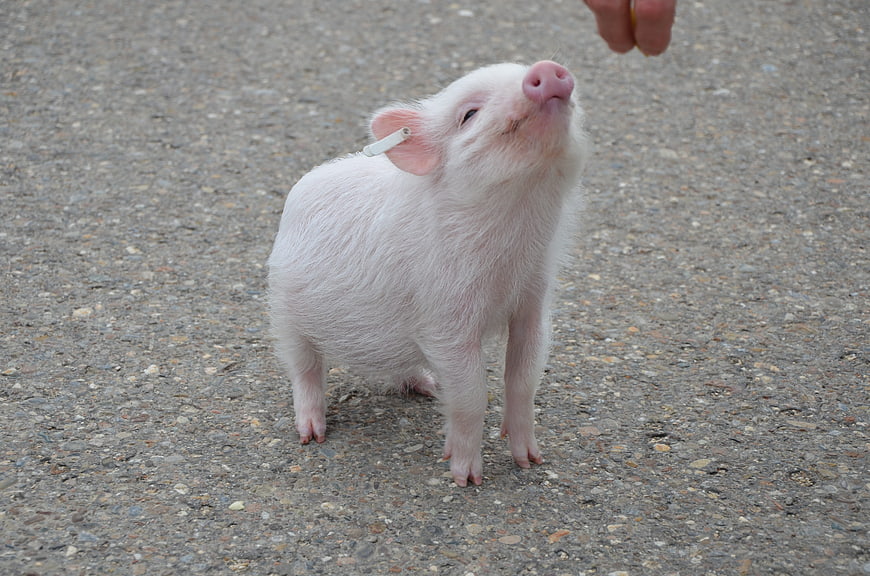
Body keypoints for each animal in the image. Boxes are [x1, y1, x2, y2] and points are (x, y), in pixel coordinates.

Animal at [267, 60, 588, 486]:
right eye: (469, 114)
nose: (547, 69)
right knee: (303, 368)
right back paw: (311, 434)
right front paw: (467, 479)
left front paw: (530, 462)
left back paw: (429, 386)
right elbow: (471, 394)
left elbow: (524, 378)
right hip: (283, 307)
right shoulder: (445, 319)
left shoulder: (533, 301)